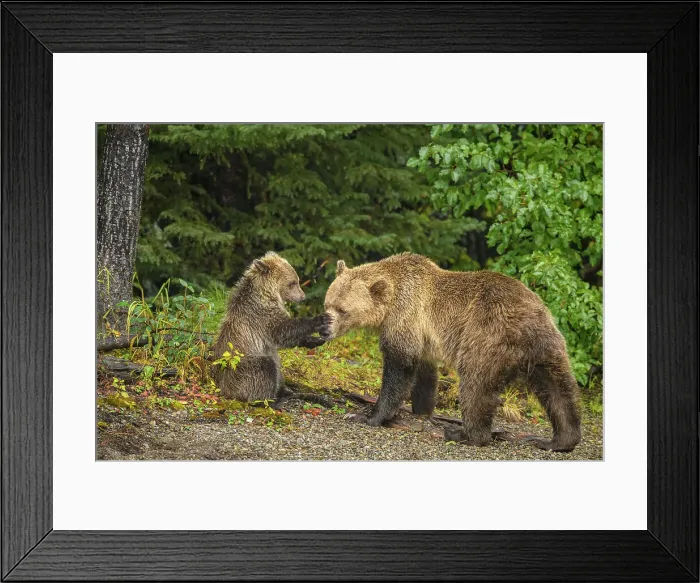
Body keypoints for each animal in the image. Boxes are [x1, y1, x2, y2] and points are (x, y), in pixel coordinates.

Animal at [211, 252, 331, 403]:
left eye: (297, 280)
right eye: (293, 282)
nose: (303, 297)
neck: (268, 293)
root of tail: (221, 387)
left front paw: (314, 341)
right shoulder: (261, 315)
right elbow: (282, 331)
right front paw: (320, 319)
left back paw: (286, 391)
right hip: (240, 366)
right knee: (265, 367)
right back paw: (270, 400)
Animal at [322, 252, 581, 452]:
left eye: (343, 310)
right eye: (327, 303)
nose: (325, 329)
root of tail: (528, 318)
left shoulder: (405, 317)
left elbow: (399, 366)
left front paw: (369, 416)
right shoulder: (423, 338)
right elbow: (424, 375)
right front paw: (421, 410)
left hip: (486, 337)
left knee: (476, 387)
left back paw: (465, 435)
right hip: (547, 346)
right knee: (558, 390)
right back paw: (558, 441)